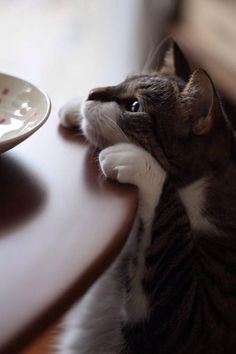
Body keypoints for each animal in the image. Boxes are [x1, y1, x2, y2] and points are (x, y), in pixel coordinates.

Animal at [58, 37, 236, 352]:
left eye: (134, 105)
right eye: (122, 81)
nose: (91, 93)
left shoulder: (194, 322)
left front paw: (135, 160)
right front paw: (75, 106)